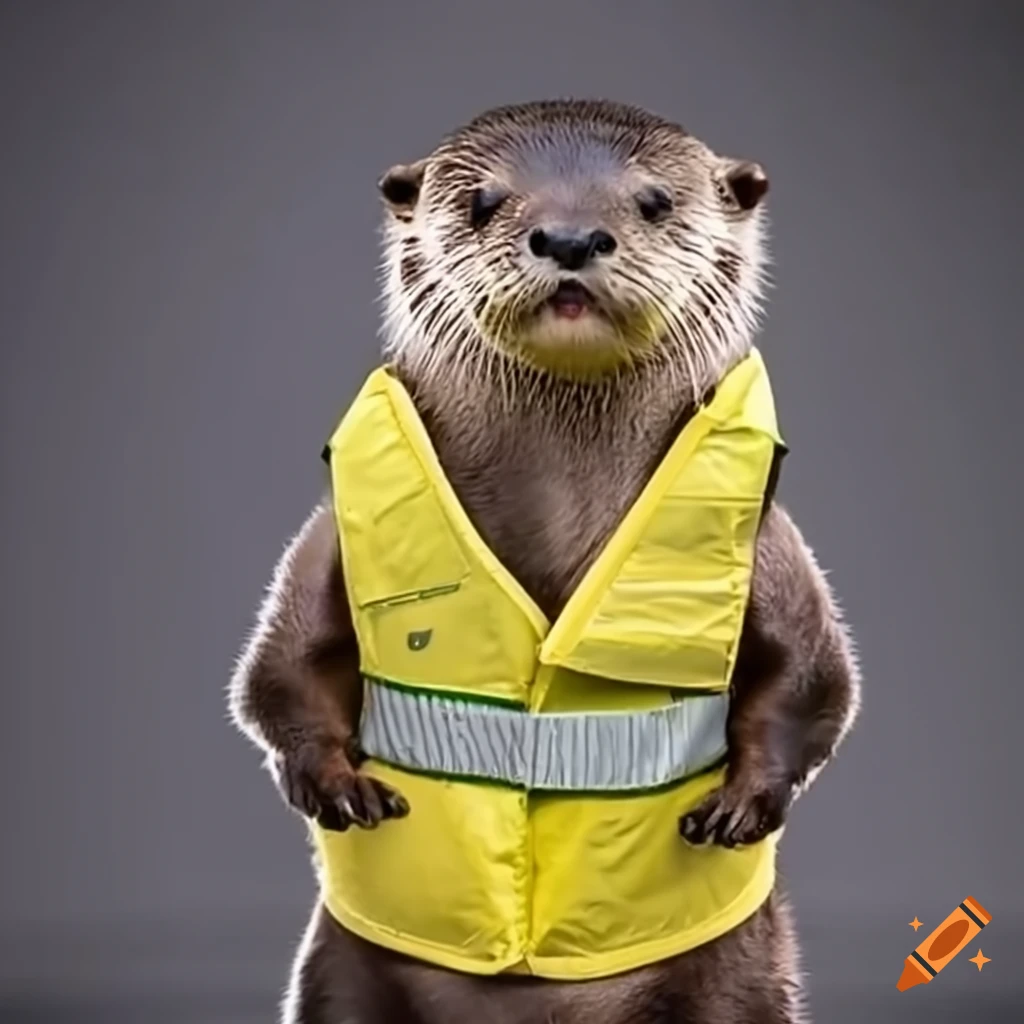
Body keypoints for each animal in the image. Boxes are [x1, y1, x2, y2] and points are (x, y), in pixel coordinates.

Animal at [228, 98, 861, 1024]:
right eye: (482, 201)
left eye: (655, 201)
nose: (568, 237)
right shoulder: (329, 538)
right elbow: (281, 668)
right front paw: (333, 783)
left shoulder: (770, 545)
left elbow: (815, 677)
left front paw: (745, 803)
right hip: (342, 973)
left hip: (739, 974)